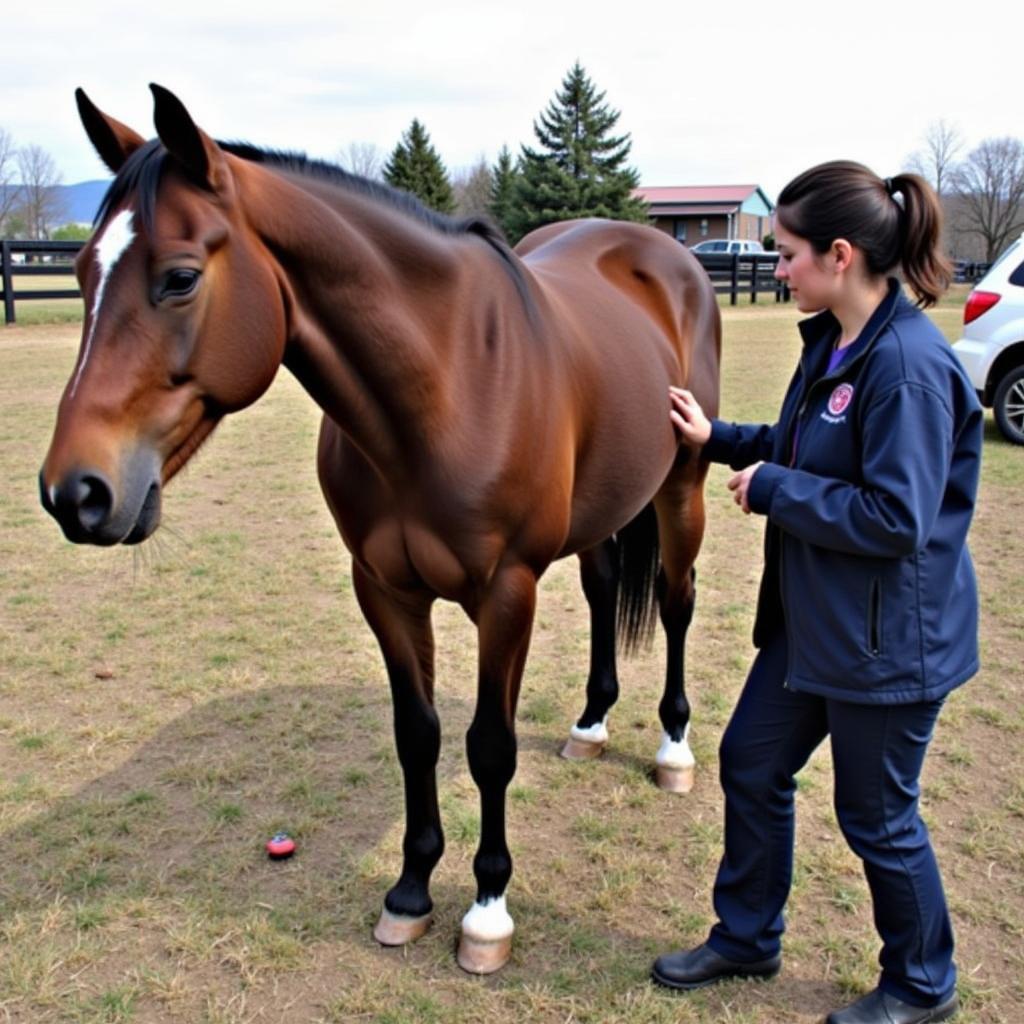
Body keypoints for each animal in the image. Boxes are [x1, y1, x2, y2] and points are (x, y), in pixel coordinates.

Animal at [37, 86, 720, 966]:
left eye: (180, 277)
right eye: (82, 272)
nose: (75, 492)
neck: (446, 384)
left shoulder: (508, 594)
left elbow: (489, 745)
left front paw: (487, 910)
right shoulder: (385, 590)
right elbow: (417, 734)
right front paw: (410, 891)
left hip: (682, 486)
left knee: (675, 601)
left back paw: (673, 749)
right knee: (605, 592)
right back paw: (591, 724)